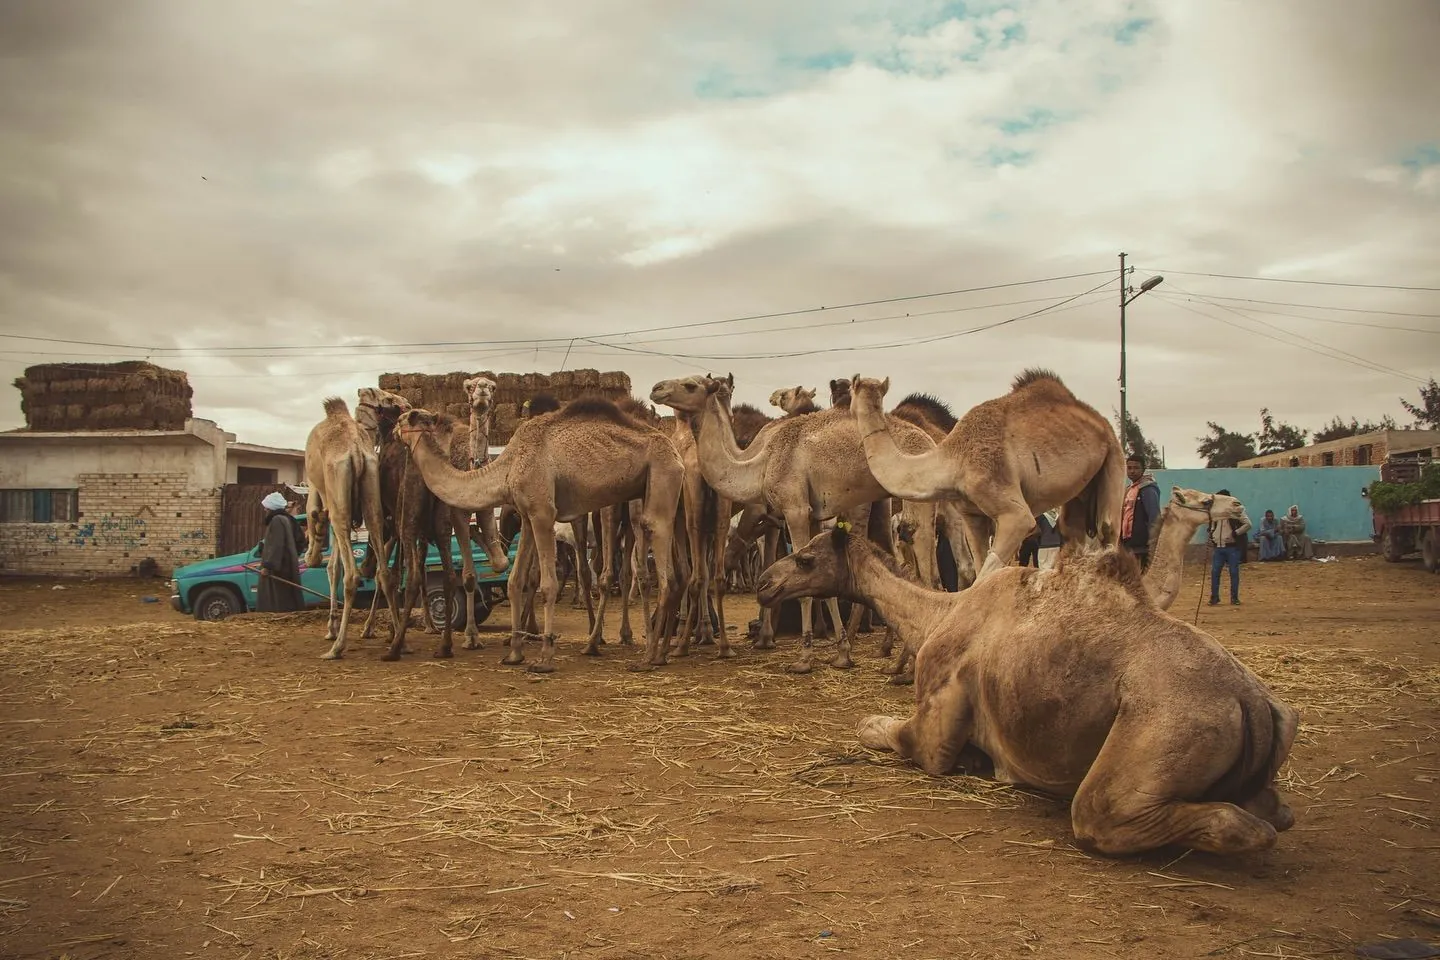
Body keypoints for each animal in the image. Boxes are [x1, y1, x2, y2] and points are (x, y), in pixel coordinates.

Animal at [303, 388, 406, 659]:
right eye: (388, 399)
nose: (406, 404)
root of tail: (356, 453)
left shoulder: (318, 491)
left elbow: (331, 565)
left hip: (339, 501)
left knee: (351, 576)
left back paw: (337, 647)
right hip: (373, 503)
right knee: (386, 573)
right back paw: (398, 642)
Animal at [393, 398, 685, 672]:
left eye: (404, 418)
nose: (394, 431)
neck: (507, 467)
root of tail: (676, 453)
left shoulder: (543, 512)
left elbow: (548, 584)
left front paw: (544, 657)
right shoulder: (526, 515)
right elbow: (515, 581)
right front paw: (514, 653)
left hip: (662, 477)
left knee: (663, 569)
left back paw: (646, 657)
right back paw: (656, 653)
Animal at [650, 373, 943, 674]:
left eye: (690, 385)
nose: (656, 388)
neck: (760, 463)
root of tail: (930, 441)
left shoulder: (795, 509)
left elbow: (803, 588)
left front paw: (804, 658)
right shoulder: (813, 515)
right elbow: (825, 586)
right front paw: (842, 654)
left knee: (924, 566)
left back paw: (906, 667)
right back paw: (895, 661)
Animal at [757, 526, 1299, 857]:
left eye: (805, 558)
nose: (763, 583)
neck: (936, 615)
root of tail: (1248, 701)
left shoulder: (935, 725)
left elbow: (884, 732)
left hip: (1165, 730)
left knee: (1115, 812)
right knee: (1277, 811)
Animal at [848, 370, 1126, 584]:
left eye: (849, 391)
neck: (952, 459)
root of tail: (1097, 419)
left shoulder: (1009, 506)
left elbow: (986, 575)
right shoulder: (972, 516)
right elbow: (979, 566)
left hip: (1114, 457)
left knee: (1108, 530)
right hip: (1081, 488)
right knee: (1072, 532)